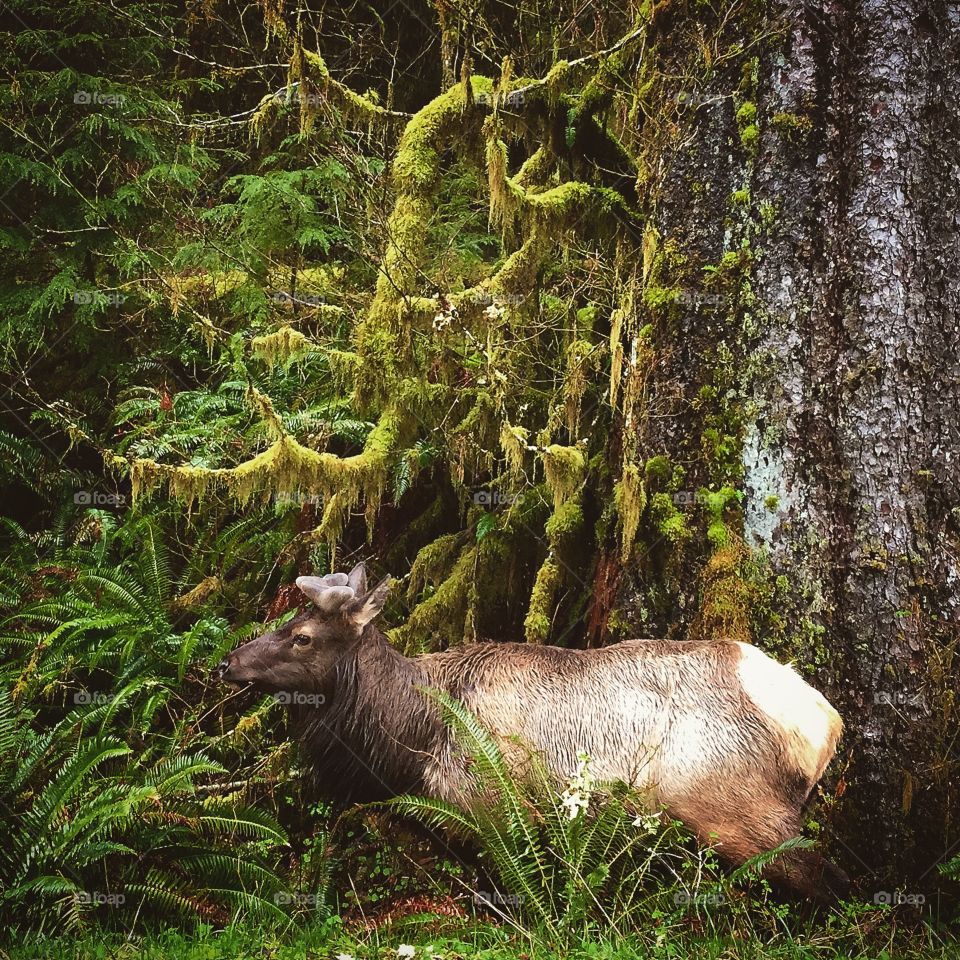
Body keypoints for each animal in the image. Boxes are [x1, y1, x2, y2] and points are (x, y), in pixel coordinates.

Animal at [216, 562, 848, 901]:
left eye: (302, 637)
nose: (228, 661)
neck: (413, 741)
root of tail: (825, 724)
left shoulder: (496, 809)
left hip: (734, 808)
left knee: (819, 875)